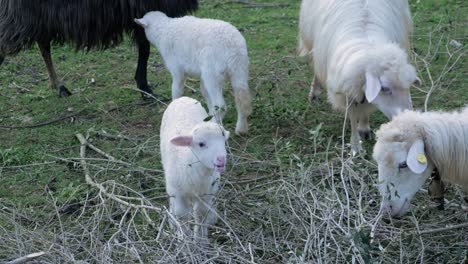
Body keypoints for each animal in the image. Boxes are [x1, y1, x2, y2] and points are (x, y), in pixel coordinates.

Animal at [160, 96, 229, 242]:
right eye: (201, 144)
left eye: (224, 141)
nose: (221, 160)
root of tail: (183, 98)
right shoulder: (178, 193)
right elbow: (182, 216)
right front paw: (185, 240)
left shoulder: (206, 193)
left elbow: (201, 214)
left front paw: (200, 240)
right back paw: (172, 221)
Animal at [298, 0, 422, 152]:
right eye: (385, 88)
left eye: (408, 87)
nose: (408, 119)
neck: (370, 50)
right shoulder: (348, 90)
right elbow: (352, 117)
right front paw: (355, 146)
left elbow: (365, 108)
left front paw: (363, 127)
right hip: (311, 39)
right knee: (316, 66)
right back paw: (314, 93)